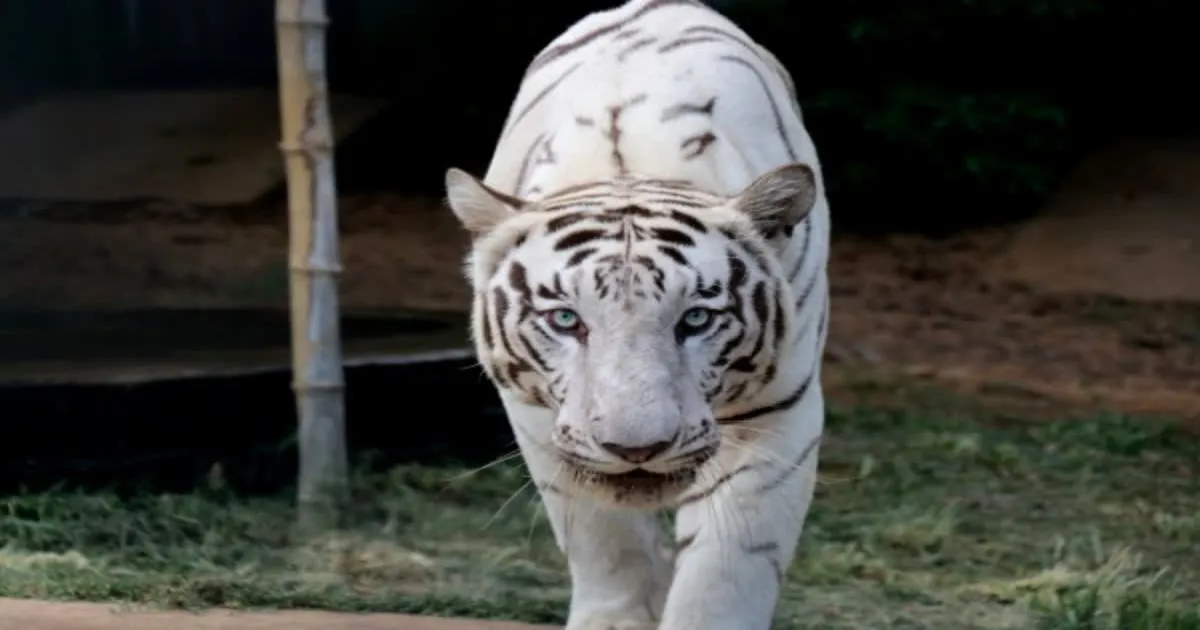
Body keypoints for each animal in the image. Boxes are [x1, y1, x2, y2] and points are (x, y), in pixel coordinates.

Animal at [443, 1, 829, 628]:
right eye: (566, 320)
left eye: (695, 320)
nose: (636, 451)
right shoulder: (537, 417)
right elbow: (605, 540)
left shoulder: (777, 418)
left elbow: (725, 574)